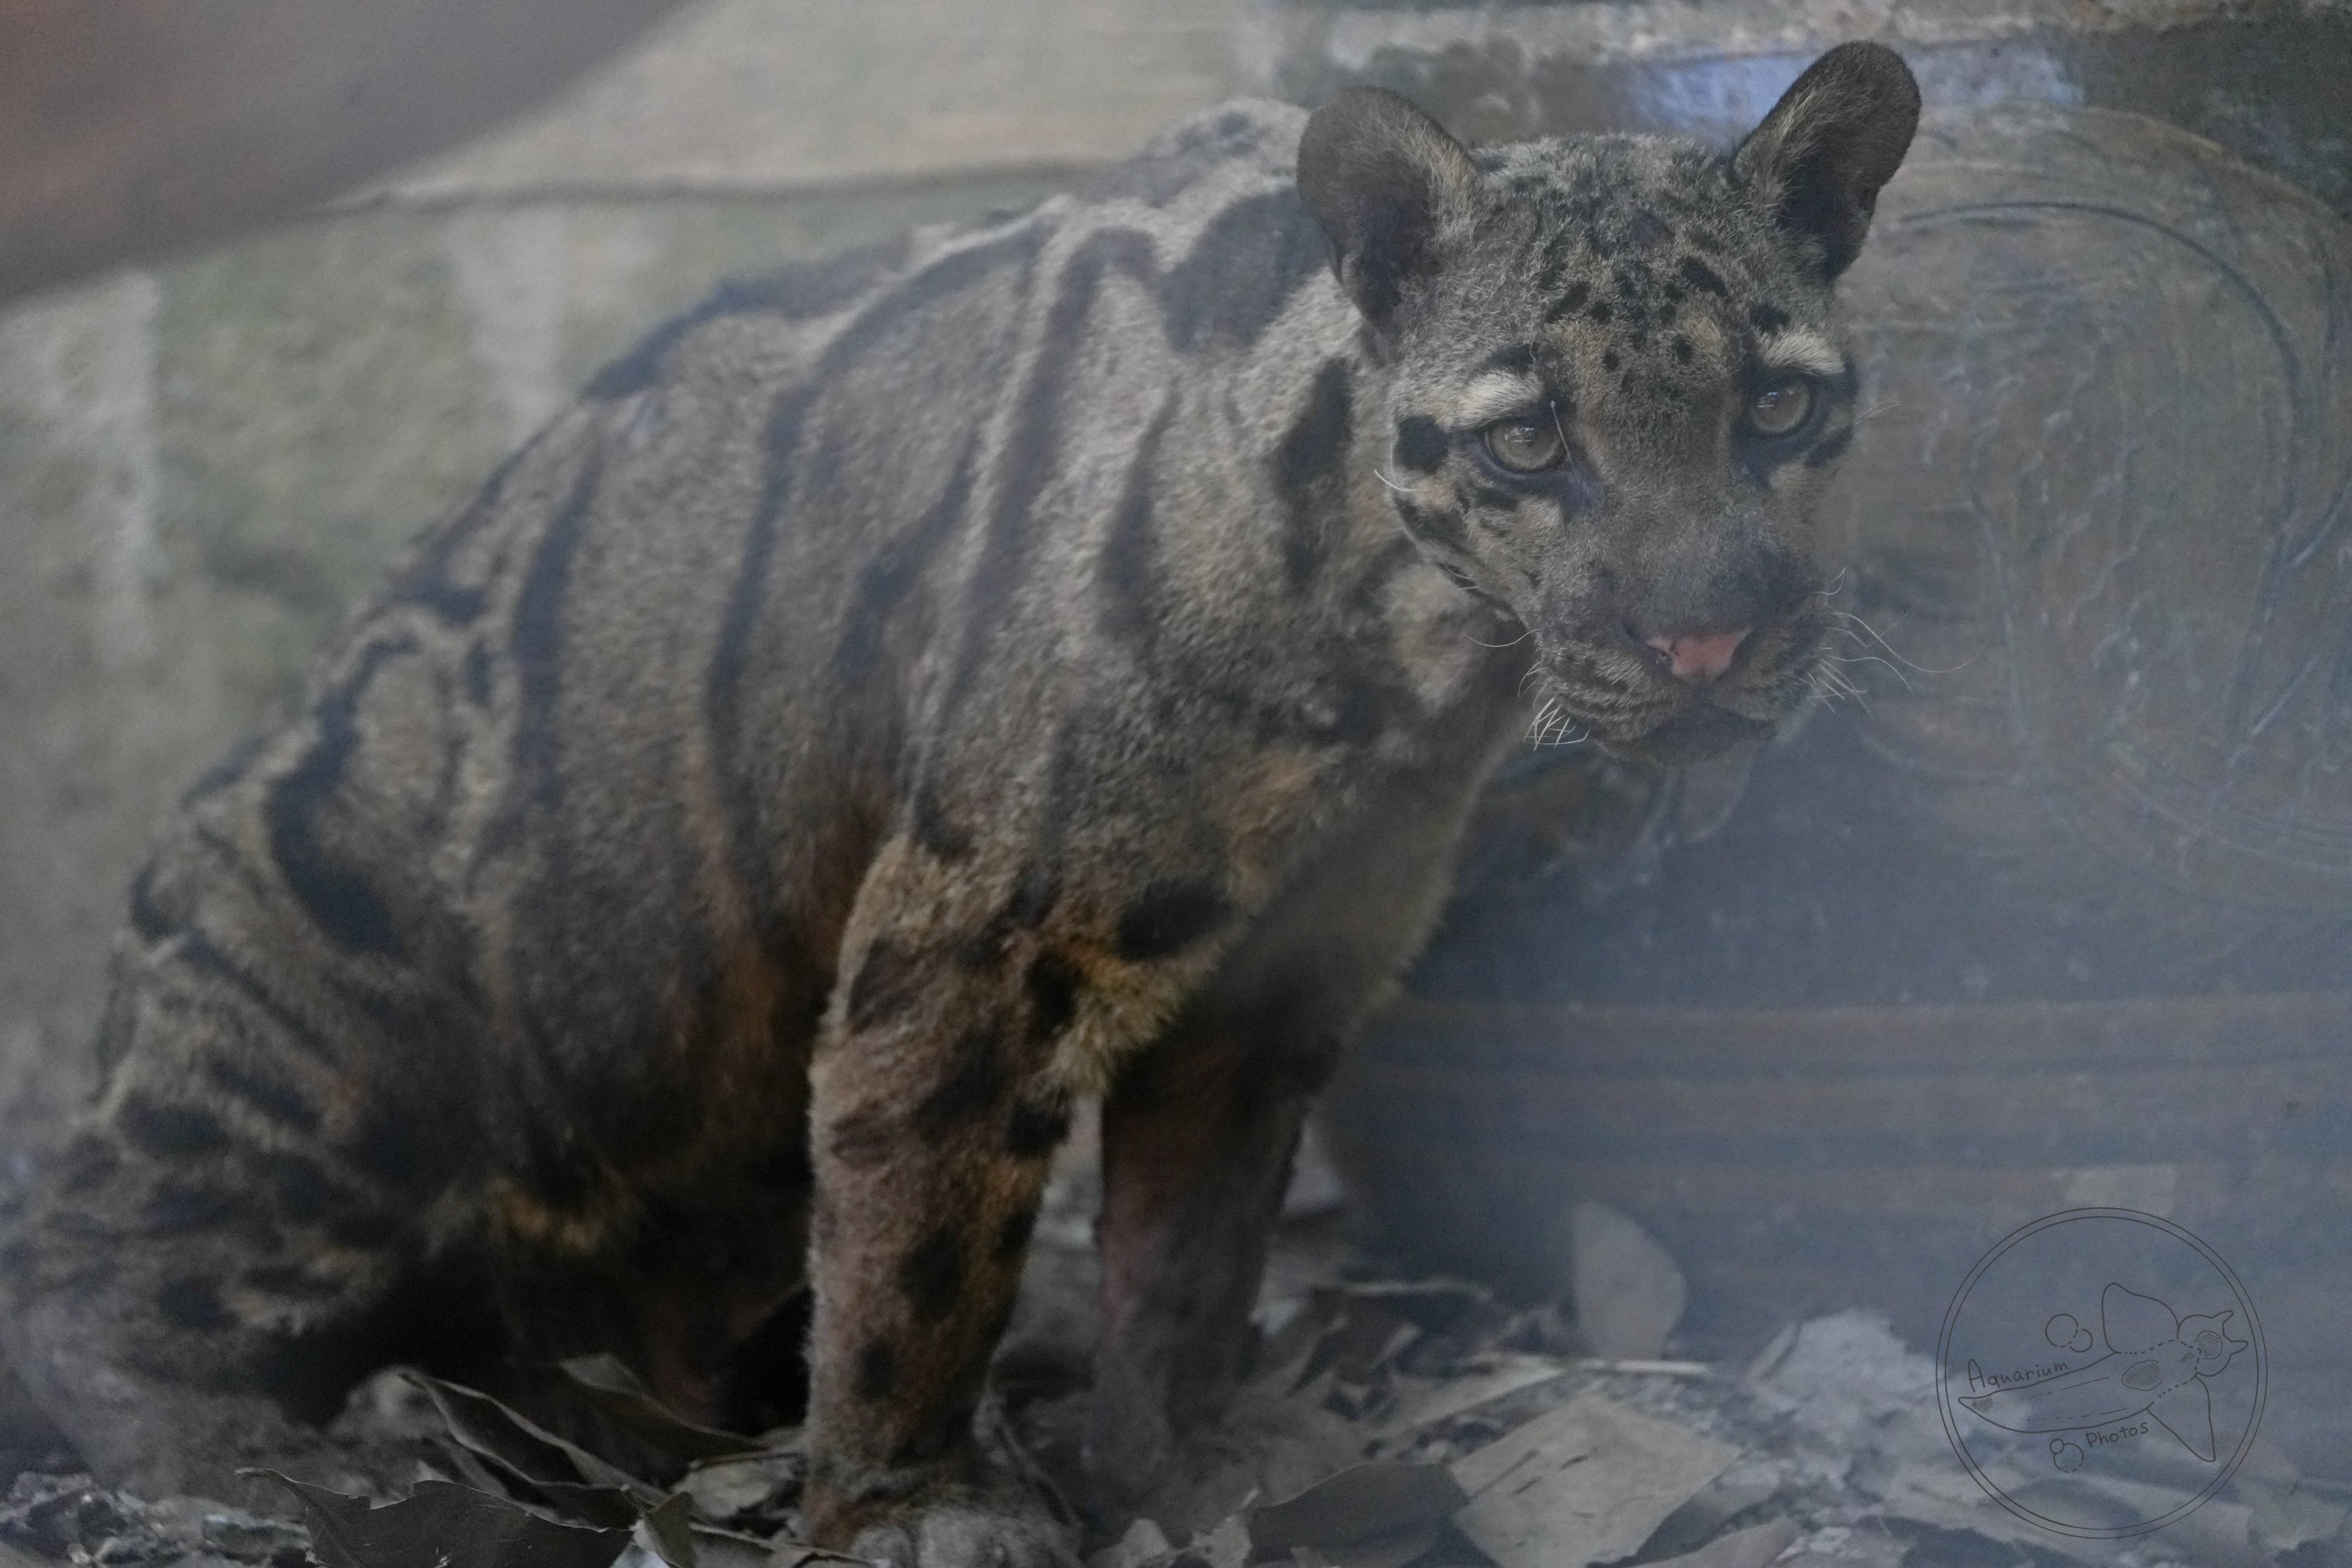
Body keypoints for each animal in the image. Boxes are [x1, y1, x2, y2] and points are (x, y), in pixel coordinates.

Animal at [0, 44, 1917, 1568]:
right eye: (1530, 441)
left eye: (1776, 403)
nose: (1708, 634)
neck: (1404, 672)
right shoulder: (983, 933)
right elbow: (926, 1246)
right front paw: (912, 1506)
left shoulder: (1276, 980)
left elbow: (1191, 1254)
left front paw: (1179, 1464)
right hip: (324, 1036)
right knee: (76, 1267)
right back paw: (254, 1468)